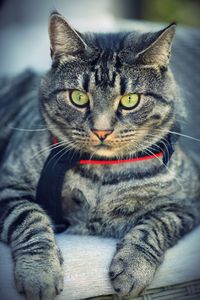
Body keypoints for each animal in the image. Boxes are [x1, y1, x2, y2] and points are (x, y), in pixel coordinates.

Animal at [0, 11, 200, 300]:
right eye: (78, 97)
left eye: (130, 100)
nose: (101, 131)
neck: (101, 175)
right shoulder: (9, 183)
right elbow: (29, 219)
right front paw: (39, 273)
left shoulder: (186, 204)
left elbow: (155, 225)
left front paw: (133, 268)